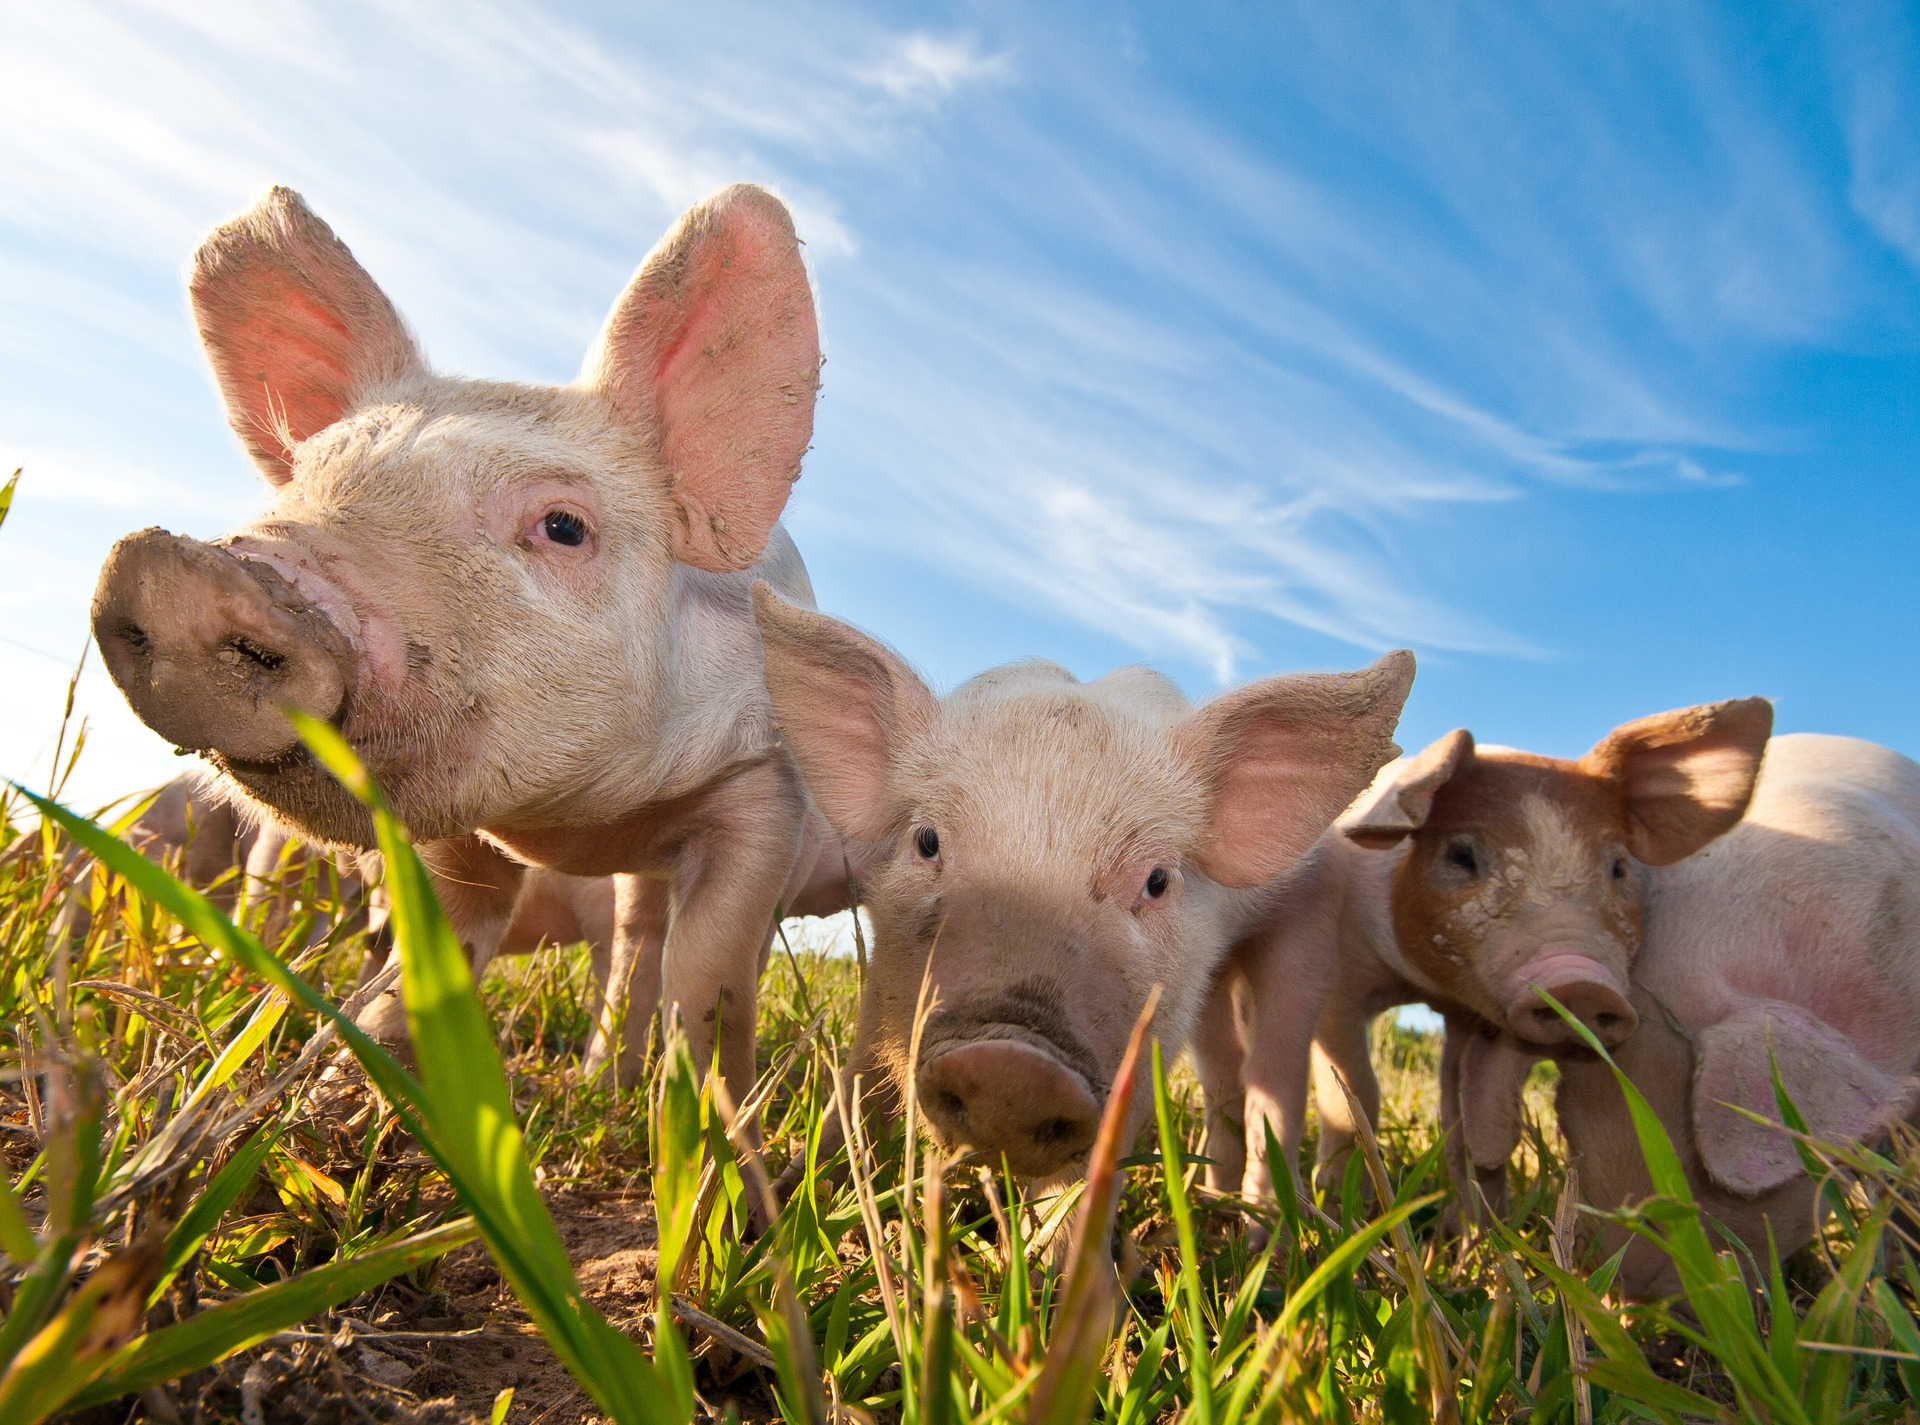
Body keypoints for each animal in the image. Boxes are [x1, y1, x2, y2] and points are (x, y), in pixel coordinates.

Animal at [89, 183, 847, 1103]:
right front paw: (356, 1088)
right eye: (305, 477)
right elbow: (438, 945)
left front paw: (719, 1126)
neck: (576, 823)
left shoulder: (767, 786)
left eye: (564, 526)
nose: (183, 572)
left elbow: (710, 975)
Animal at [751, 584, 1414, 1180]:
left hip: (1312, 929)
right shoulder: (884, 973)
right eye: (928, 841)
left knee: (1278, 1075)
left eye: (1156, 880)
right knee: (1225, 1072)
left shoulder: (1146, 1046)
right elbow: (859, 1079)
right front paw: (794, 1193)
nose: (1011, 1065)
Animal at [1192, 697, 1777, 1215]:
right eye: (1462, 854)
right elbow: (1355, 1091)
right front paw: (1346, 1203)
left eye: (1618, 867)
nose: (1580, 982)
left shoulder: (1470, 1014)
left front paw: (1473, 1225)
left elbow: (1461, 1121)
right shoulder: (1339, 988)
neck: (1419, 984)